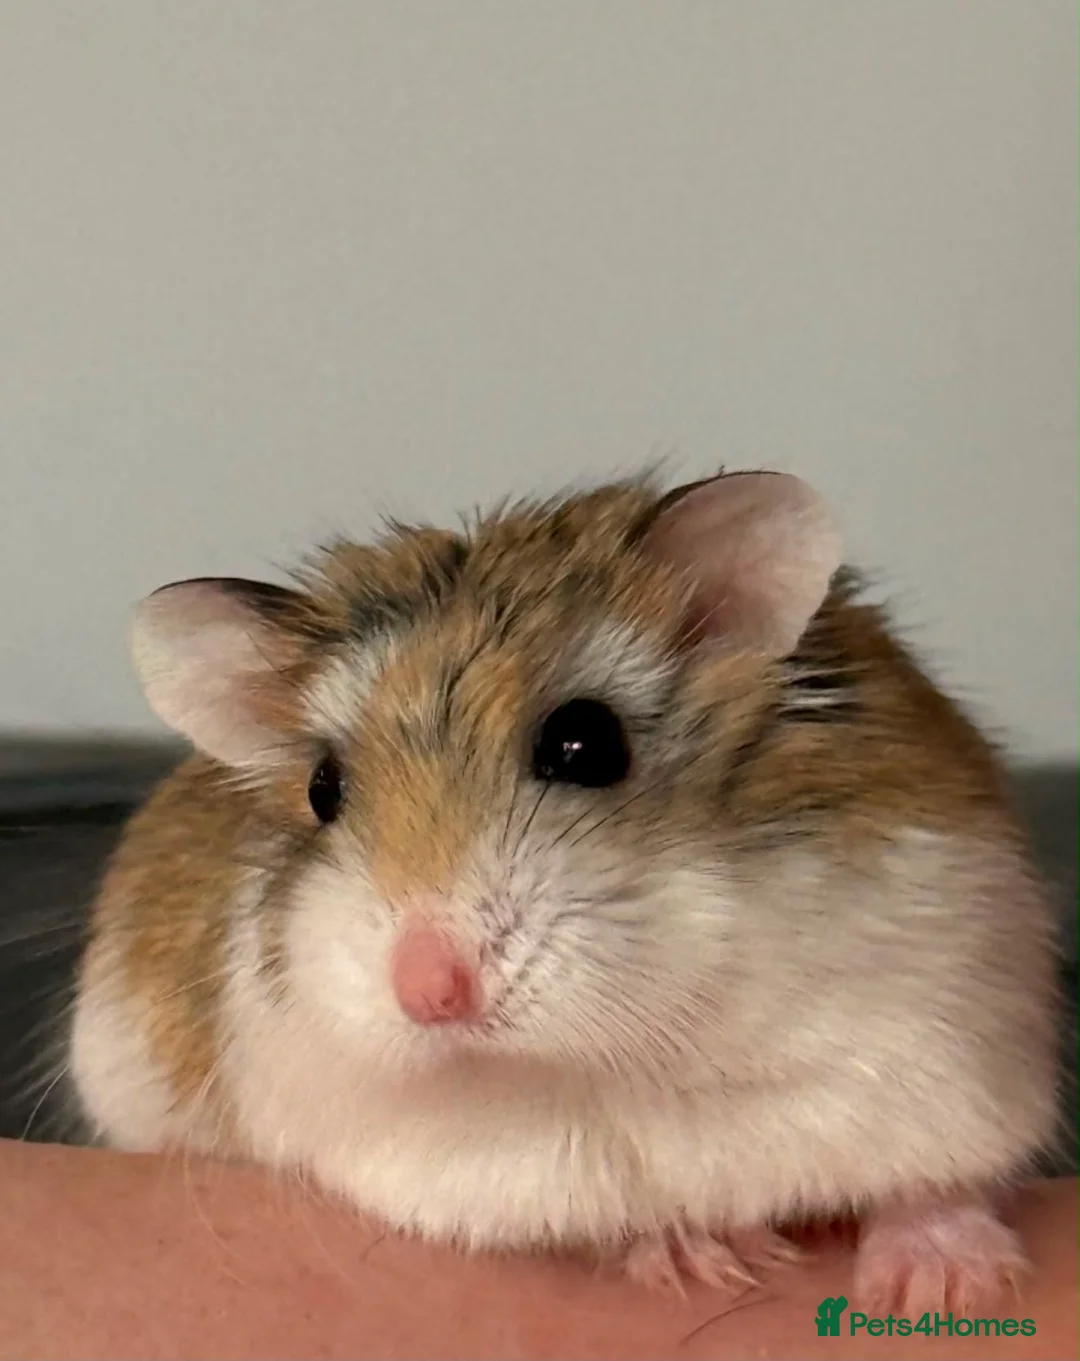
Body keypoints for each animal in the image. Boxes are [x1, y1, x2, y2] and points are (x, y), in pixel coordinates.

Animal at [70, 470, 1060, 1312]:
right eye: (322, 789)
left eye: (585, 742)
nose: (430, 992)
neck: (617, 1052)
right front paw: (702, 1256)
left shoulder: (955, 1044)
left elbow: (938, 1177)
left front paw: (941, 1287)